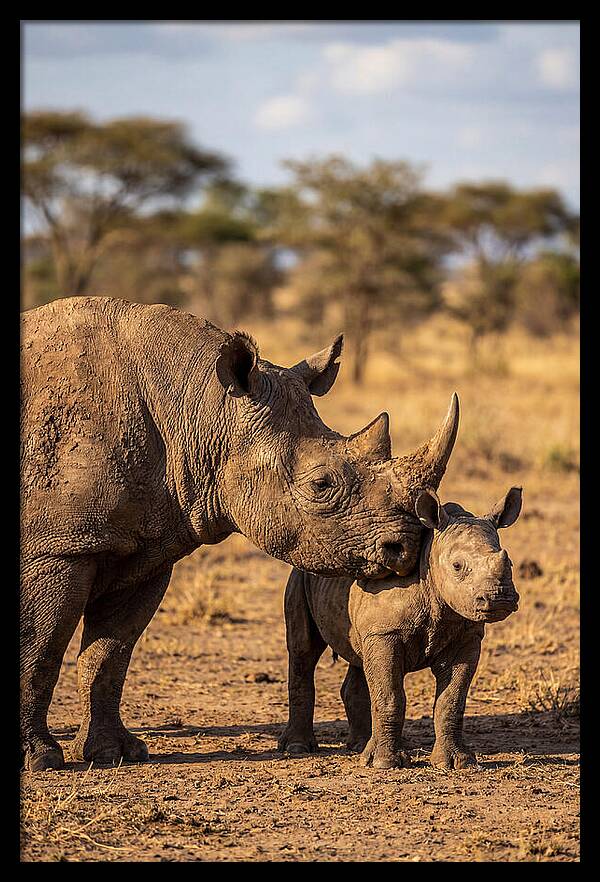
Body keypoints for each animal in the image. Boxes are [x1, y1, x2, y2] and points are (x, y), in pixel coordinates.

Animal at [20, 297, 456, 772]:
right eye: (321, 485)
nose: (406, 547)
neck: (200, 408)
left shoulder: (146, 549)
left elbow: (109, 653)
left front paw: (115, 753)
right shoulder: (58, 548)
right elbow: (40, 646)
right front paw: (40, 759)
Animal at [278, 482, 522, 769]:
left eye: (510, 562)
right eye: (457, 566)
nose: (500, 598)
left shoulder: (466, 636)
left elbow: (452, 700)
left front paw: (457, 762)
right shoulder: (386, 633)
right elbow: (390, 695)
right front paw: (385, 763)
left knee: (359, 657)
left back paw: (360, 746)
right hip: (300, 575)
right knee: (303, 651)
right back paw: (298, 747)